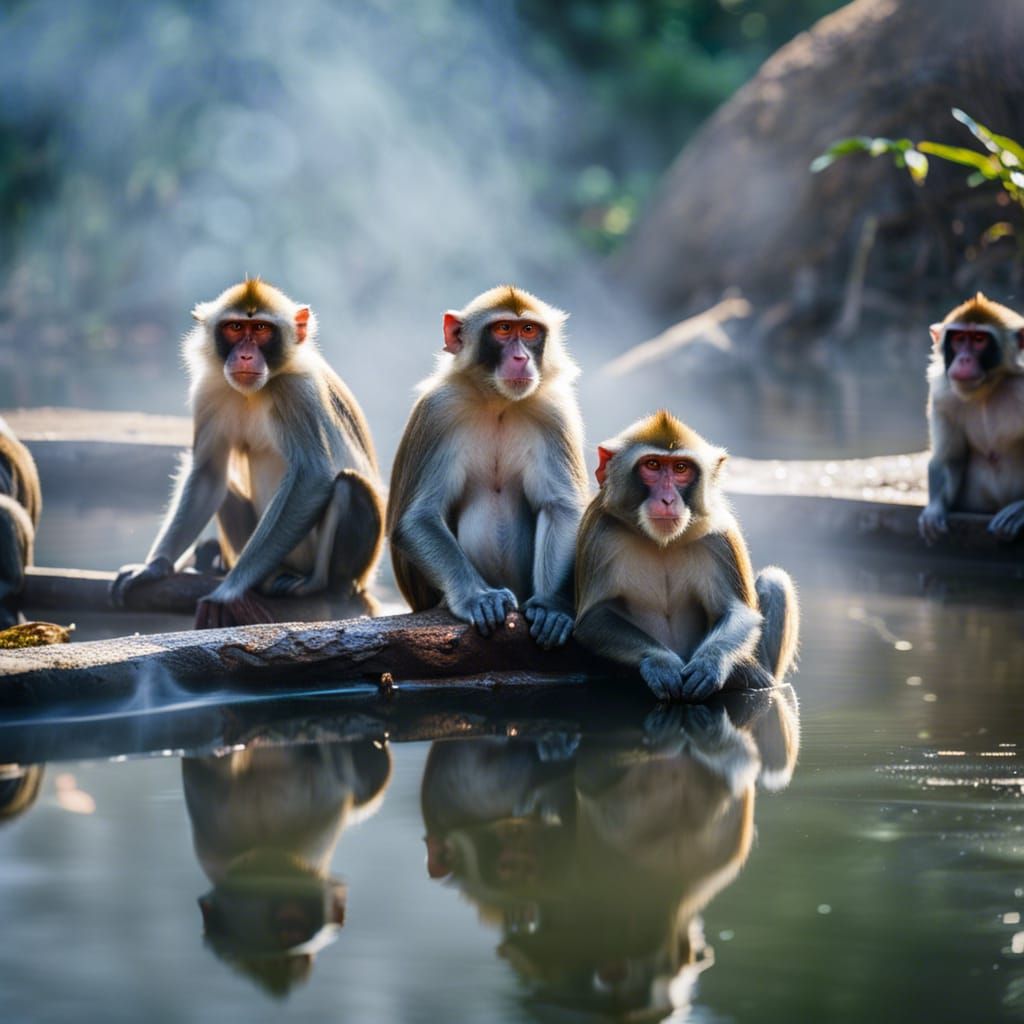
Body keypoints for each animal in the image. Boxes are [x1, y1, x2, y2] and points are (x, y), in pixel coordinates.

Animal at [111, 278, 384, 628]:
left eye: (262, 329)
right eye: (236, 327)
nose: (244, 355)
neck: (256, 392)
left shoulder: (296, 392)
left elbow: (312, 477)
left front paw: (229, 590)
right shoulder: (210, 389)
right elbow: (208, 473)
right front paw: (153, 567)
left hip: (353, 568)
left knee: (348, 485)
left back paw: (323, 586)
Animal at [386, 285, 589, 648]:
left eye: (529, 331)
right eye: (503, 329)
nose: (521, 358)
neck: (499, 402)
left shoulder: (554, 413)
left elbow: (561, 507)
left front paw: (552, 606)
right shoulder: (438, 410)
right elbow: (418, 517)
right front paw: (477, 597)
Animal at [574, 411, 799, 702]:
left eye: (681, 468)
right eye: (653, 465)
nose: (668, 500)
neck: (662, 543)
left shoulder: (719, 536)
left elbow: (737, 611)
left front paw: (710, 663)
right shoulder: (599, 532)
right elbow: (593, 616)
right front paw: (661, 661)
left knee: (774, 581)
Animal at [919, 292, 1024, 544]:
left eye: (978, 339)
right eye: (958, 338)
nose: (964, 359)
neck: (989, 387)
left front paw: (1020, 510)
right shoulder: (943, 394)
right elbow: (949, 457)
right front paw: (935, 509)